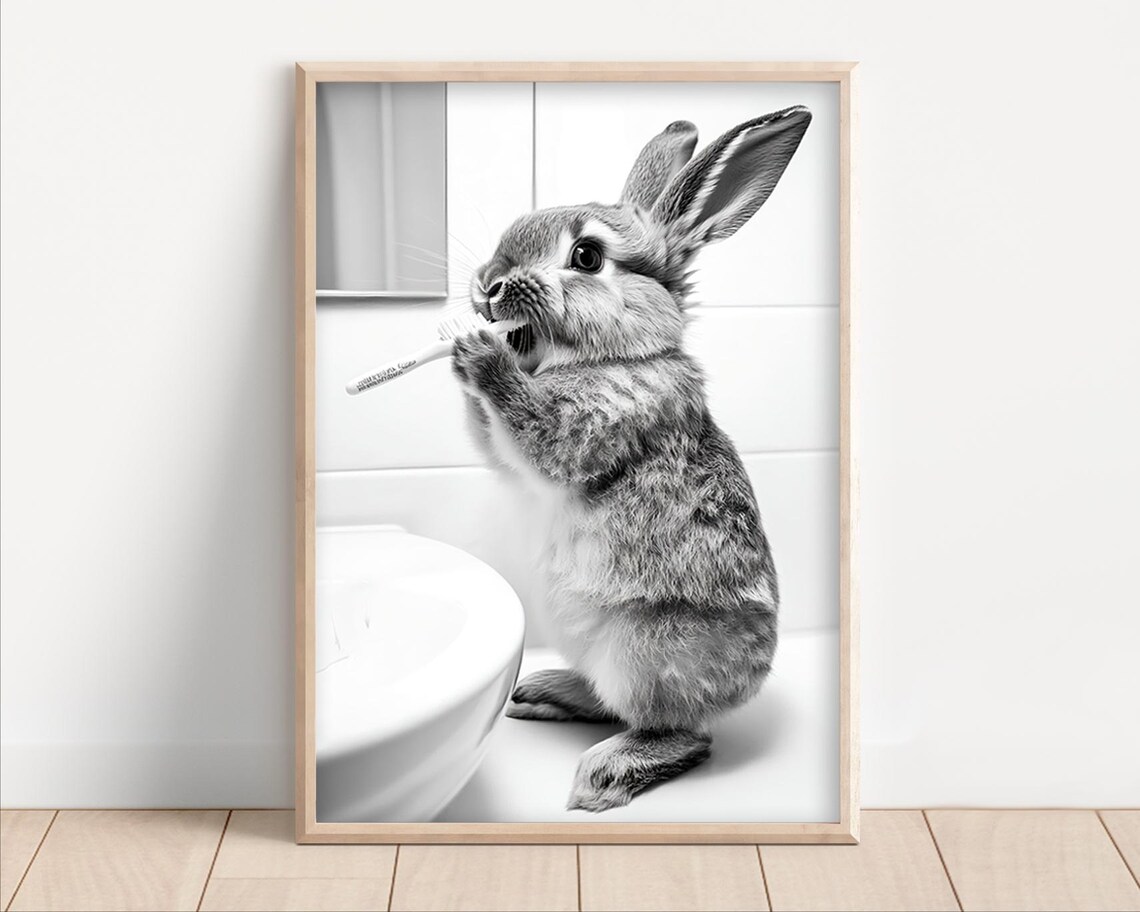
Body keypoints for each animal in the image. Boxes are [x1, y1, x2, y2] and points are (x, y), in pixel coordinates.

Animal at [451, 106, 812, 812]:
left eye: (586, 257)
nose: (488, 285)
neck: (617, 356)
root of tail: (750, 679)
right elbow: (493, 444)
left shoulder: (588, 428)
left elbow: (532, 431)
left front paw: (481, 354)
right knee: (608, 701)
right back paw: (545, 693)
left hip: (644, 656)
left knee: (682, 733)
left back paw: (604, 774)